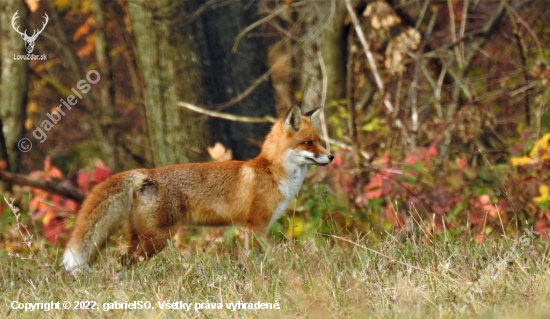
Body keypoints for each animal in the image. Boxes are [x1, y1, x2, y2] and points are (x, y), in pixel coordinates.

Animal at [62, 107, 334, 276]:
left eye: (320, 141)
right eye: (308, 143)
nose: (331, 157)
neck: (272, 172)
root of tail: (146, 173)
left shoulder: (248, 227)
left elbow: (250, 258)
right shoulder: (257, 224)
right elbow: (269, 256)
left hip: (140, 238)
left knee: (122, 261)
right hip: (158, 239)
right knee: (127, 263)